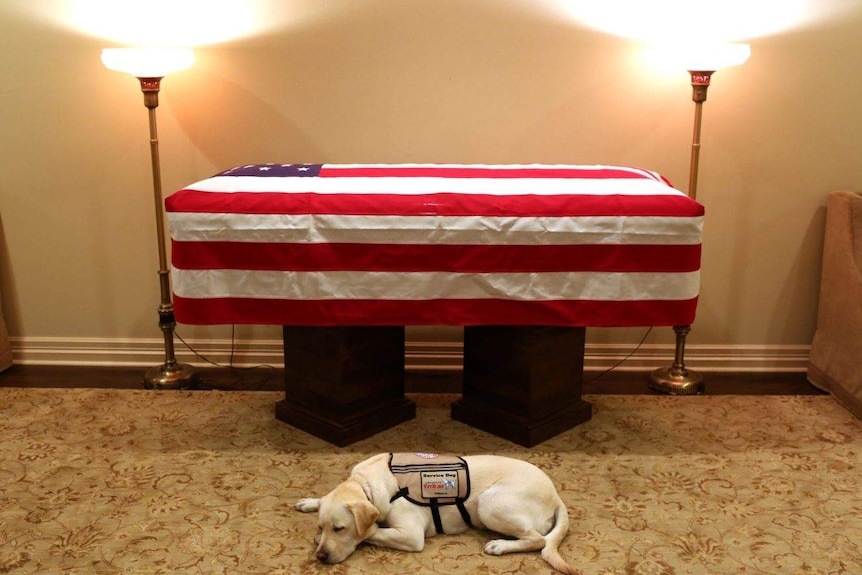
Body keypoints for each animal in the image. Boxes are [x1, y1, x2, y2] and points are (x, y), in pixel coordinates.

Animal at [296, 454, 572, 572]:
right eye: (321, 525)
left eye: (340, 528)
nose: (320, 557)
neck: (366, 484)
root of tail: (556, 495)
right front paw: (311, 503)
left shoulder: (410, 535)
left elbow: (372, 531)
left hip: (489, 503)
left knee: (538, 540)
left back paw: (500, 545)